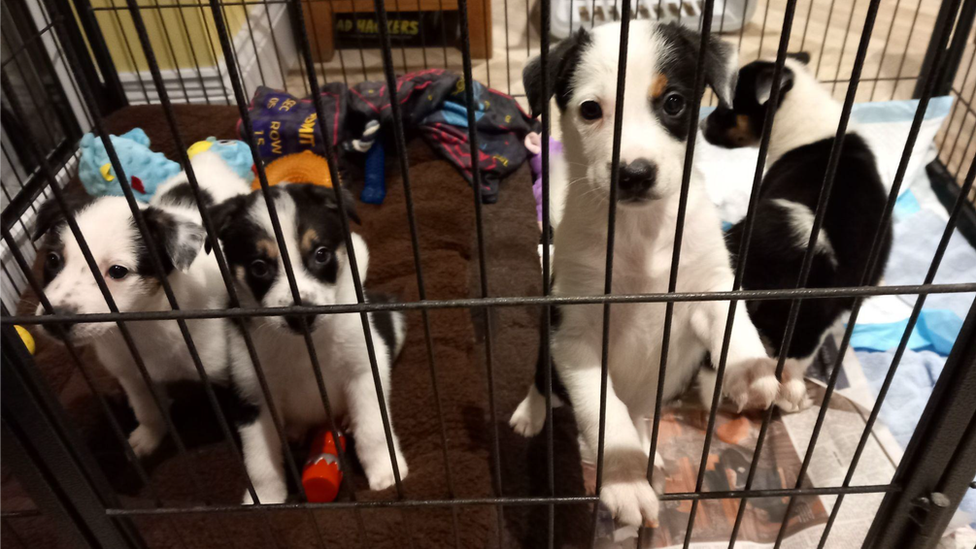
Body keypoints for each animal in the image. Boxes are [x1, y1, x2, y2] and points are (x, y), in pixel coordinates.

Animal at [33, 150, 254, 454]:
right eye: (53, 260)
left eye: (117, 271)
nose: (55, 321)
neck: (146, 324)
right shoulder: (132, 375)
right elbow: (146, 409)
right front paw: (148, 437)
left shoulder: (227, 371)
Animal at [210, 182, 408, 504]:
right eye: (259, 267)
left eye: (321, 253)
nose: (301, 316)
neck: (305, 347)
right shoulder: (252, 392)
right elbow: (259, 461)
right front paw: (265, 498)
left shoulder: (365, 367)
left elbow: (373, 428)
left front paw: (385, 472)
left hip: (394, 323)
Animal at [510, 22, 776, 528]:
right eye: (590, 110)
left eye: (673, 102)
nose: (634, 174)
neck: (639, 234)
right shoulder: (574, 332)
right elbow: (603, 411)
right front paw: (625, 481)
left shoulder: (705, 283)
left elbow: (732, 319)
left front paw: (750, 371)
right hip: (547, 347)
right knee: (542, 381)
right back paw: (532, 415)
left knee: (636, 416)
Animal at [700, 54, 892, 412]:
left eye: (728, 108)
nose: (702, 126)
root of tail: (812, 254)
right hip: (811, 318)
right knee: (791, 360)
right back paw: (792, 398)